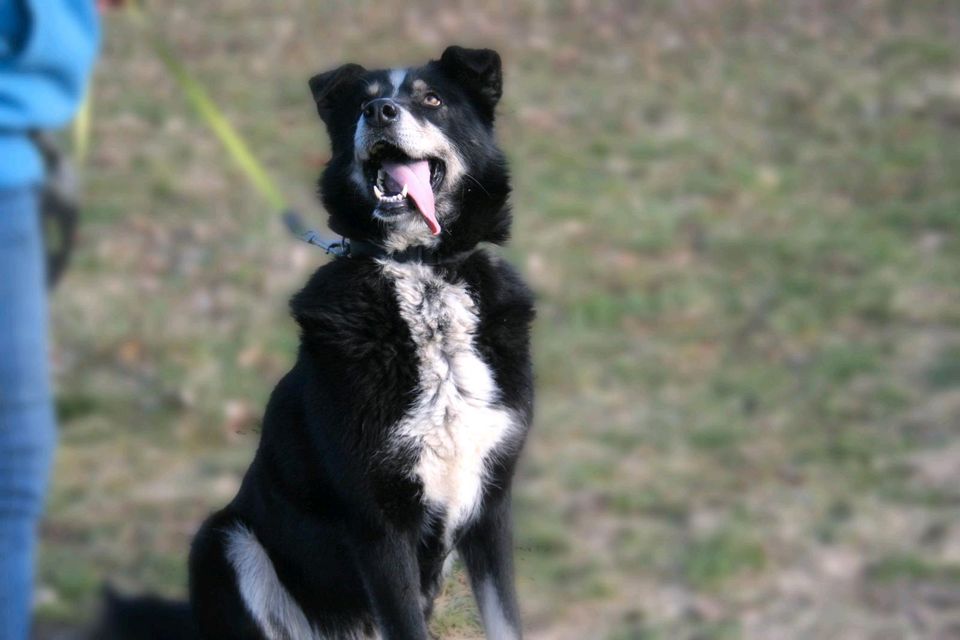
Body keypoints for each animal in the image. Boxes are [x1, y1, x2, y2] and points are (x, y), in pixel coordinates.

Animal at [184, 46, 532, 640]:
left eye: (431, 99)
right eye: (363, 103)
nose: (381, 112)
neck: (419, 272)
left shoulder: (489, 507)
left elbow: (505, 620)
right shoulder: (378, 525)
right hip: (224, 540)